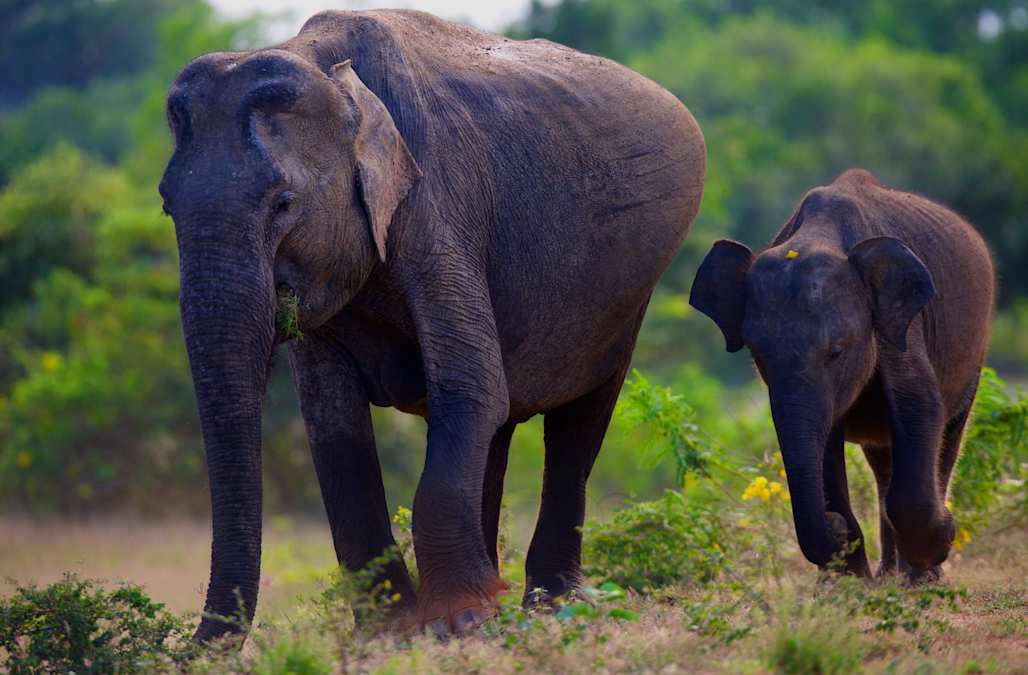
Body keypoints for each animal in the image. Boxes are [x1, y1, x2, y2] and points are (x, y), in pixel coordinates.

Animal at [158, 10, 705, 640]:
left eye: (284, 203)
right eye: (167, 205)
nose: (195, 647)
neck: (323, 63)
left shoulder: (439, 207)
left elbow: (470, 389)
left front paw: (456, 623)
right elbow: (335, 426)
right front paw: (390, 630)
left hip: (628, 293)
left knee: (577, 422)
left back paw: (548, 608)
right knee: (499, 429)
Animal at [690, 169, 994, 581]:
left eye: (836, 352)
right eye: (758, 357)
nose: (831, 525)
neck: (820, 233)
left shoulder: (899, 327)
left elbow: (921, 407)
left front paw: (940, 540)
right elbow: (825, 444)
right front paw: (845, 581)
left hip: (972, 359)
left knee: (946, 436)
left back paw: (917, 575)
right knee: (883, 461)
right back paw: (888, 574)